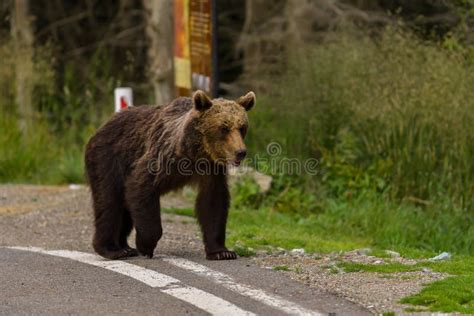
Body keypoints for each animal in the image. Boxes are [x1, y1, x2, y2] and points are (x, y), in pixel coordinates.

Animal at [85, 89, 256, 260]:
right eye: (224, 128)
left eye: (242, 127)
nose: (240, 152)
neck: (195, 153)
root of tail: (103, 125)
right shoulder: (162, 156)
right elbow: (141, 185)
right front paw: (146, 245)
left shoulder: (211, 170)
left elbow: (213, 203)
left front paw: (222, 252)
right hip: (109, 157)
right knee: (109, 201)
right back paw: (112, 249)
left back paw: (125, 247)